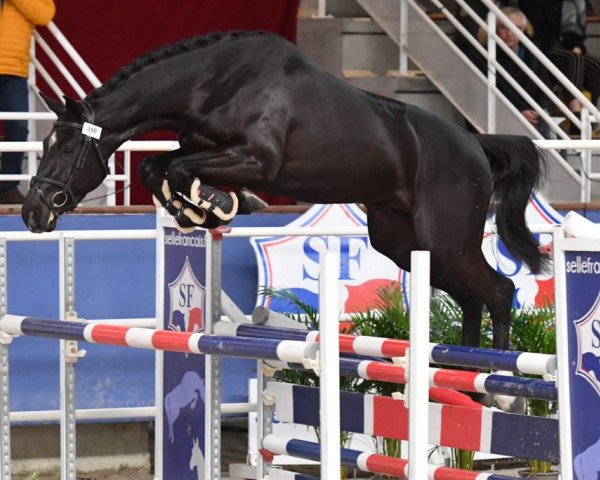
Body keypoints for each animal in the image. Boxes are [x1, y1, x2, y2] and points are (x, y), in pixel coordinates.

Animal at [22, 31, 548, 352]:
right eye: (45, 145)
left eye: (65, 148)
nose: (32, 213)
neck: (212, 82)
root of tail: (475, 144)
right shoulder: (201, 148)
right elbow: (158, 166)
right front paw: (198, 210)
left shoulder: (257, 160)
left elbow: (181, 169)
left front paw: (219, 204)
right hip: (404, 242)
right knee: (473, 298)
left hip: (446, 239)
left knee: (499, 291)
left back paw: (502, 392)